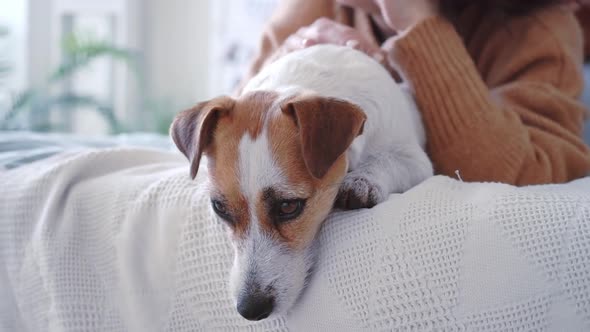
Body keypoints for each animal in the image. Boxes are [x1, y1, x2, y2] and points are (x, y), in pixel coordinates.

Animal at [171, 44, 434, 322]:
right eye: (220, 208)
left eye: (288, 206)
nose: (250, 310)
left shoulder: (415, 160)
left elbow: (386, 160)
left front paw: (362, 181)